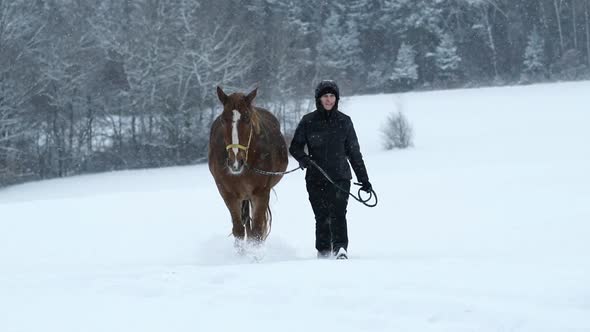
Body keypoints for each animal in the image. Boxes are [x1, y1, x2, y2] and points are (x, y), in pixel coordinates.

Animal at [209, 87, 290, 250]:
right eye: (223, 119)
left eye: (247, 118)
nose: (235, 162)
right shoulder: (228, 194)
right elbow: (239, 231)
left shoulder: (261, 193)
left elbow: (257, 233)